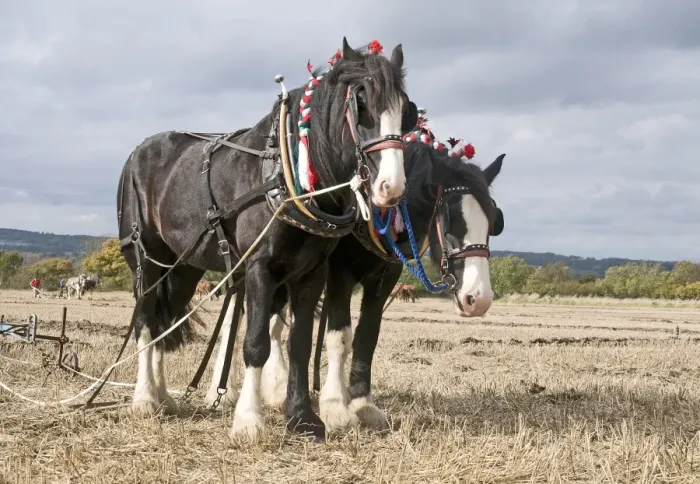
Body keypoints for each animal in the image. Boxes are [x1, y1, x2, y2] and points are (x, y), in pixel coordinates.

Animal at [116, 37, 417, 442]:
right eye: (361, 104)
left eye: (406, 111)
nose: (391, 186)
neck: (289, 176)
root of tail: (138, 152)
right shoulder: (260, 267)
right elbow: (255, 343)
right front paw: (248, 420)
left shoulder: (312, 272)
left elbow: (300, 343)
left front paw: (303, 418)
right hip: (146, 260)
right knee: (147, 322)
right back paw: (145, 398)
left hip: (183, 268)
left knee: (166, 323)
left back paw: (164, 397)